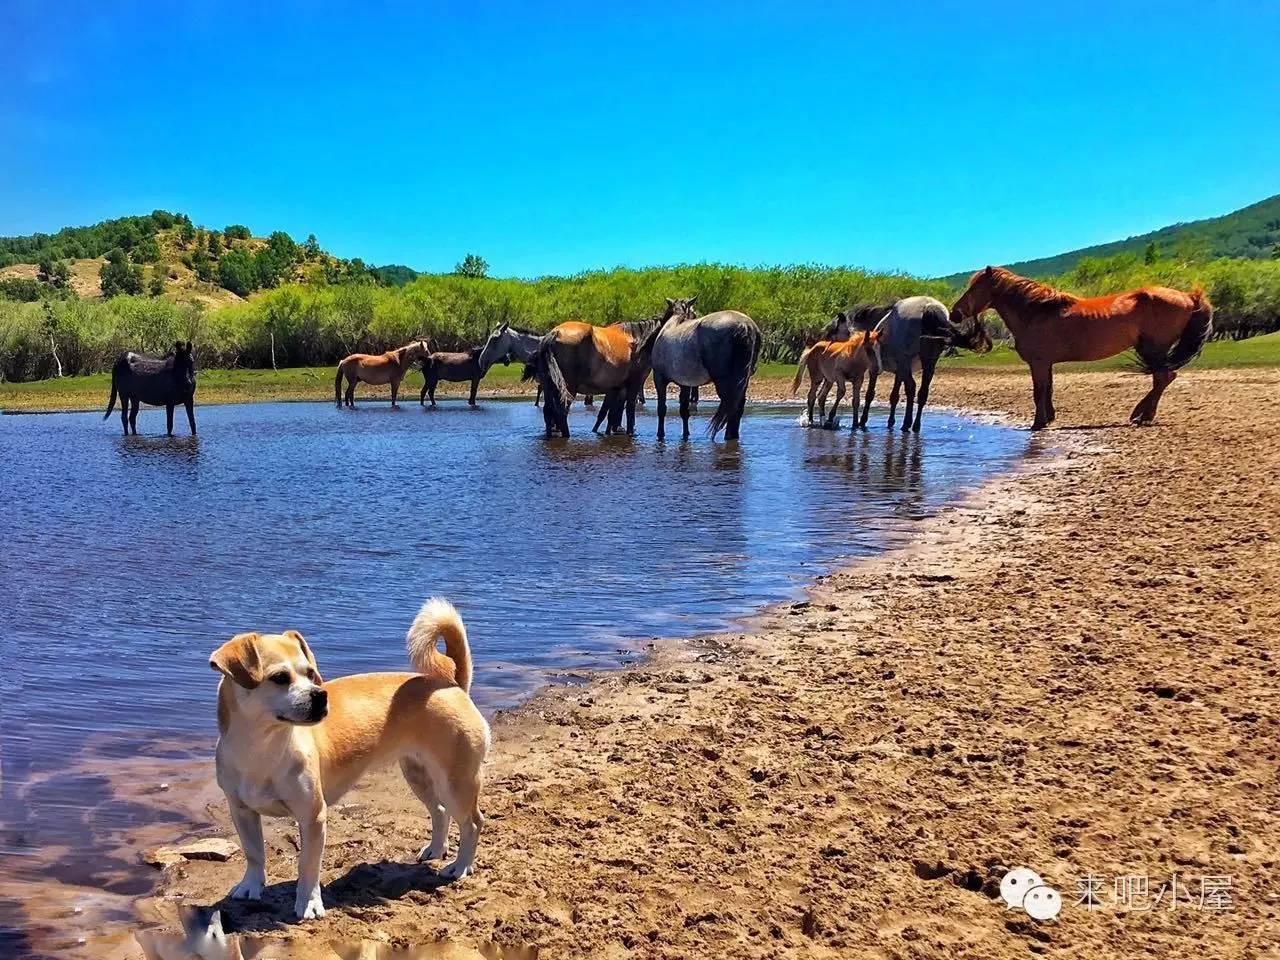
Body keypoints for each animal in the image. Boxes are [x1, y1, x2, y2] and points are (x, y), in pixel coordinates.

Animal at [209, 599, 488, 921]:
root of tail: (452, 684)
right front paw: (251, 886)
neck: (262, 749)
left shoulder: (313, 817)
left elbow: (308, 866)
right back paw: (436, 849)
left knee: (472, 823)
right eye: (279, 678)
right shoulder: (241, 812)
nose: (320, 695)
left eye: (310, 673)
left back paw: (460, 866)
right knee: (440, 812)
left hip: (456, 783)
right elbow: (254, 854)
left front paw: (308, 903)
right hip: (419, 775)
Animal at [650, 299, 757, 442]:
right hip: (743, 381)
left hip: (724, 382)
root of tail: (744, 326)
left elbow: (662, 409)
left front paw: (660, 435)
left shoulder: (659, 379)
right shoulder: (685, 384)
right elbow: (684, 411)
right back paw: (732, 436)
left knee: (731, 405)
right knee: (737, 406)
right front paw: (685, 435)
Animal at [870, 295, 988, 435]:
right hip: (929, 361)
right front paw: (890, 422)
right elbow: (894, 395)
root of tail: (929, 307)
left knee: (911, 388)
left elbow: (870, 394)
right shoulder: (899, 370)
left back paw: (906, 424)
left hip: (907, 360)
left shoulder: (885, 367)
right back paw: (915, 426)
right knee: (922, 393)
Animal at [957, 263, 1213, 427]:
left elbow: (1038, 391)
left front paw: (1038, 423)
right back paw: (1142, 415)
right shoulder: (1046, 363)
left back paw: (1141, 416)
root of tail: (1189, 297)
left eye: (974, 288)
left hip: (1154, 348)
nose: (956, 313)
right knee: (1163, 378)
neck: (1038, 312)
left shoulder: (1038, 363)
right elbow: (1048, 389)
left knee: (1163, 377)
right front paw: (1048, 418)